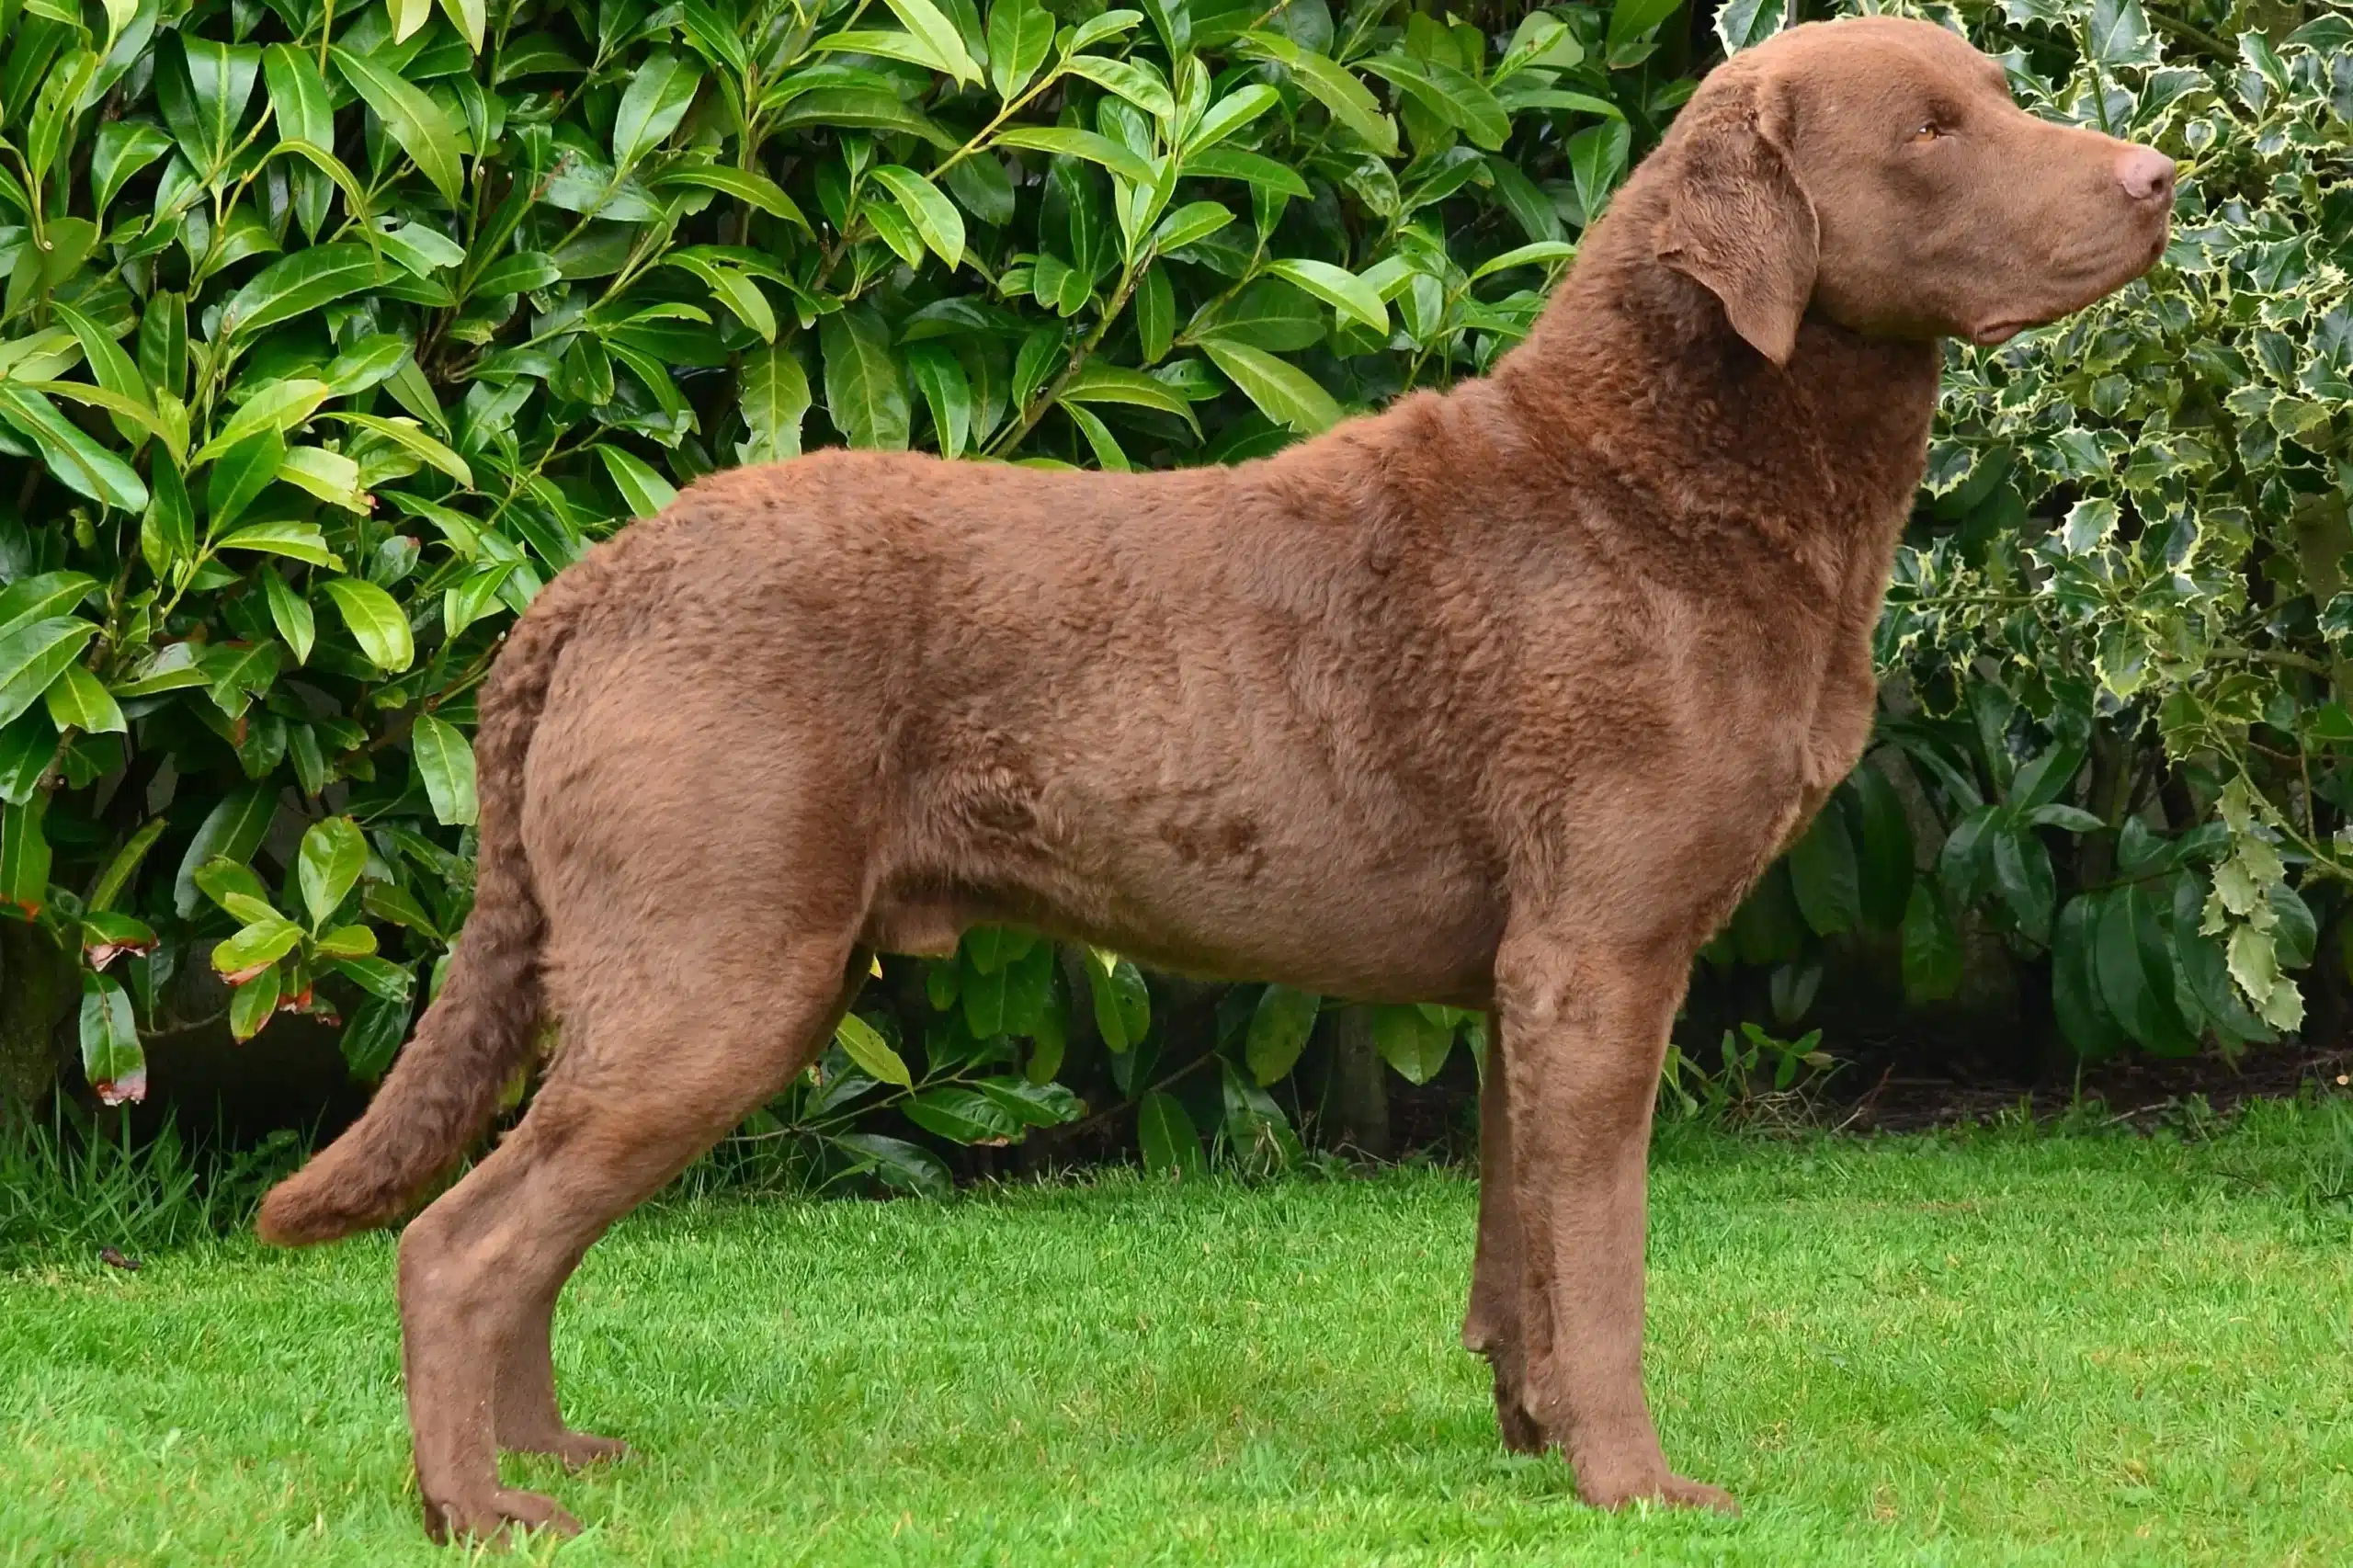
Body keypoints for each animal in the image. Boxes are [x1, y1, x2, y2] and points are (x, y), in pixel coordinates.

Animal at [257, 17, 2165, 1535]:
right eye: (1929, 133)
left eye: (1999, 95)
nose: (2158, 177)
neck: (1654, 479)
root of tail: (596, 576)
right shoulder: (1605, 956)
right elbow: (1607, 1261)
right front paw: (1638, 1488)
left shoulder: (1523, 978)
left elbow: (1522, 1255)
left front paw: (1532, 1443)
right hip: (719, 967)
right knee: (463, 1240)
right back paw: (481, 1511)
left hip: (662, 969)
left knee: (528, 1222)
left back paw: (550, 1458)